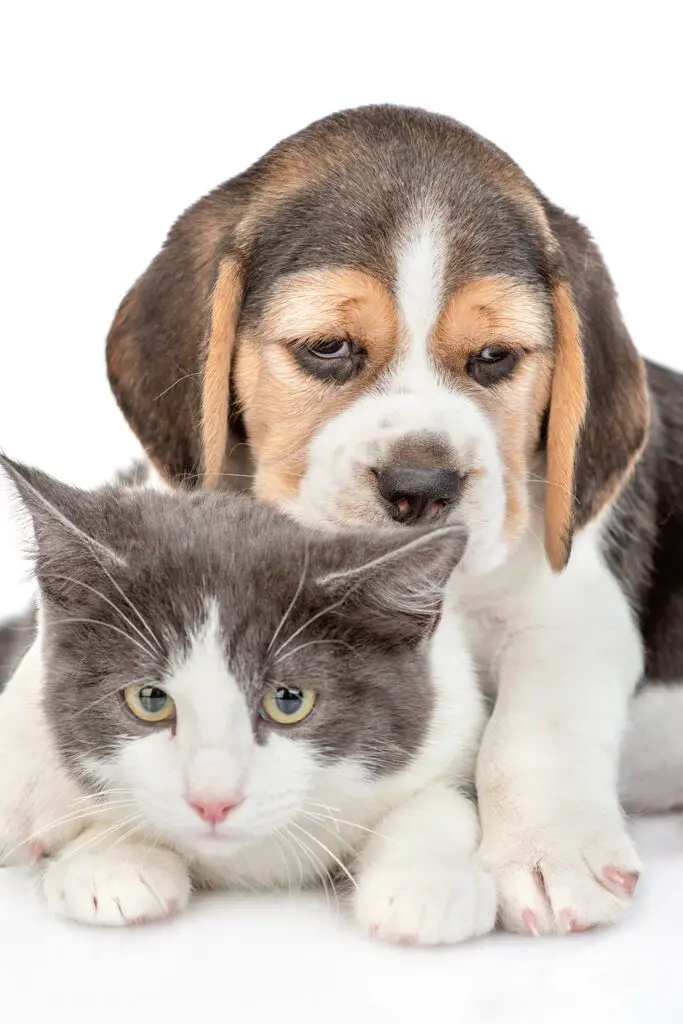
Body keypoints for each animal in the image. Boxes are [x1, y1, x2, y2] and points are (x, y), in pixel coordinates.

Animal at [0, 460, 493, 946]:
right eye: (149, 699)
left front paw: (424, 882)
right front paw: (116, 861)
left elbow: (442, 797)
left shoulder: (454, 712)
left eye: (289, 701)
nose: (213, 803)